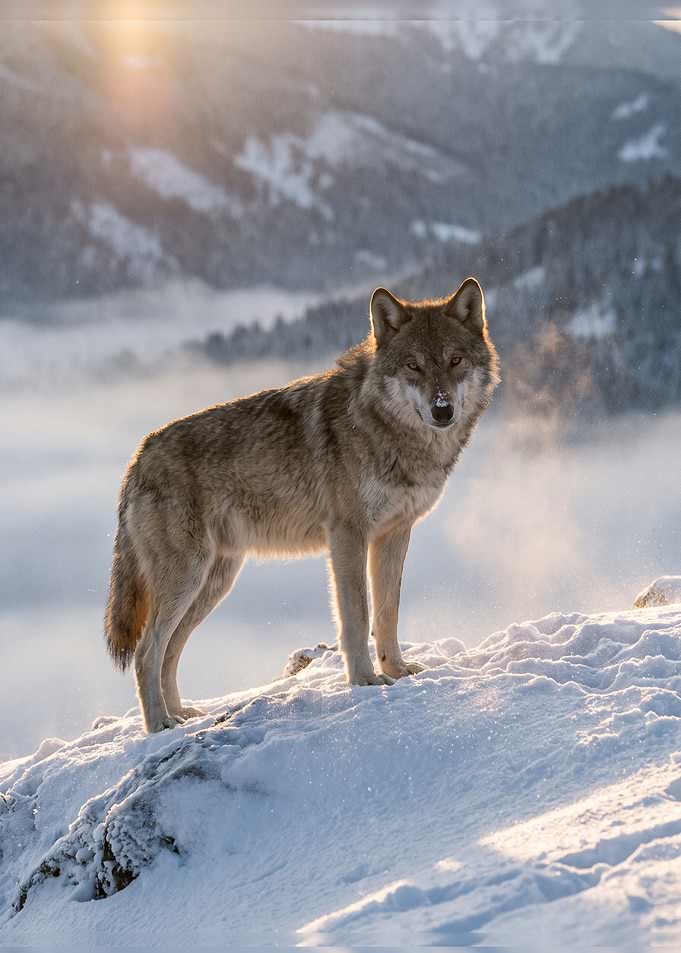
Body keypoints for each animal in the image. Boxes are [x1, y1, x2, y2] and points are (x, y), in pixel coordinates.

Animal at [105, 278, 500, 732]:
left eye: (455, 360)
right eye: (413, 366)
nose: (442, 410)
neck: (388, 433)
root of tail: (138, 457)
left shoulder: (395, 534)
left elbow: (387, 613)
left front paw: (396, 672)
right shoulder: (348, 535)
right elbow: (357, 616)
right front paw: (365, 681)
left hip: (214, 581)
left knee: (170, 650)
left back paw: (182, 715)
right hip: (188, 578)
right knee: (146, 652)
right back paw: (159, 725)